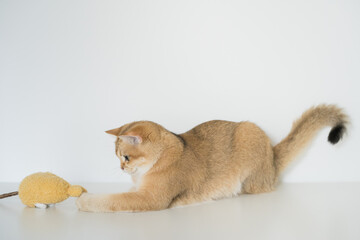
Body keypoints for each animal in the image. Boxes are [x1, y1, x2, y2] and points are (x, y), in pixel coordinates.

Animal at [76, 104, 348, 212]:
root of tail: (272, 156)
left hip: (249, 131)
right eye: (118, 157)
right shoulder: (141, 191)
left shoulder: (150, 198)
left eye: (126, 157)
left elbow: (112, 200)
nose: (121, 168)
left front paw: (83, 200)